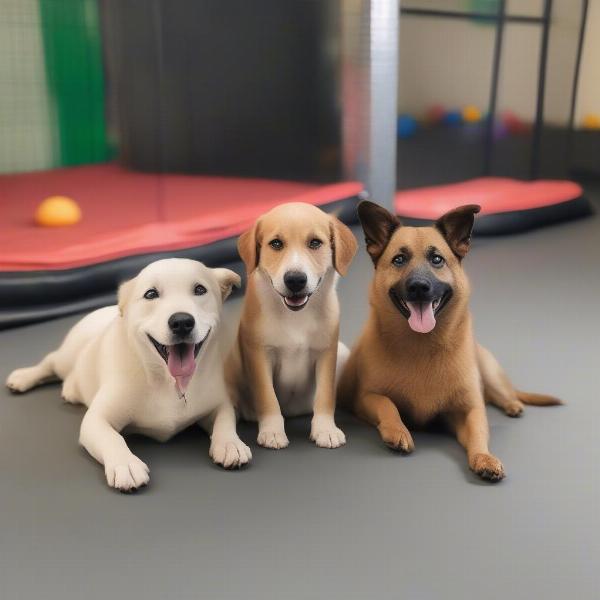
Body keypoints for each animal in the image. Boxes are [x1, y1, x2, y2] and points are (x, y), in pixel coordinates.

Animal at [6, 258, 251, 492]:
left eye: (200, 289)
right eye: (151, 294)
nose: (181, 321)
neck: (168, 382)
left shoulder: (219, 402)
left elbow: (225, 419)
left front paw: (230, 443)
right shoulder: (96, 420)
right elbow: (112, 437)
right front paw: (125, 463)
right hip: (66, 357)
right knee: (50, 361)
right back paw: (23, 377)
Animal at [225, 204, 356, 448]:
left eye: (315, 243)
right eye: (276, 244)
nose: (295, 280)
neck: (296, 316)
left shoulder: (326, 353)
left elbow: (325, 395)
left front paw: (325, 429)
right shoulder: (260, 355)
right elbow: (268, 397)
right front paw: (272, 431)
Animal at [340, 202, 560, 482]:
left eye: (437, 259)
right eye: (399, 260)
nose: (419, 287)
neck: (422, 347)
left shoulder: (469, 411)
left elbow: (478, 432)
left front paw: (484, 458)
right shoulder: (366, 397)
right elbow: (387, 405)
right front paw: (397, 430)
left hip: (490, 372)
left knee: (502, 393)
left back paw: (512, 404)